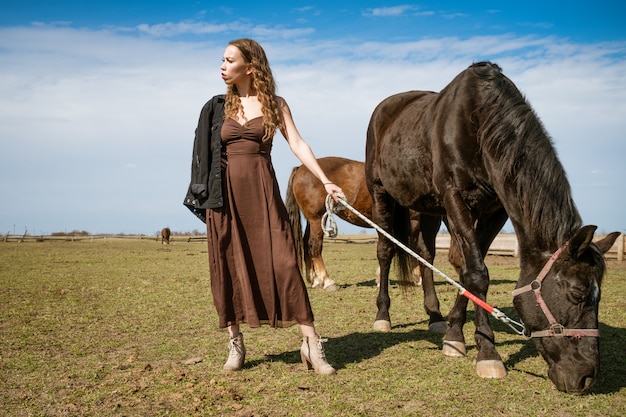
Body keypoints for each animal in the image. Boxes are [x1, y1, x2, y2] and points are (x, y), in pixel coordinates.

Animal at [286, 154, 450, 334]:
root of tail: (301, 167)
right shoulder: (413, 222)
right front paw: (416, 276)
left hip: (314, 220)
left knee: (306, 244)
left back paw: (314, 279)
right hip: (316, 219)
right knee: (314, 246)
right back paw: (327, 281)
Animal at [366, 60, 620, 392]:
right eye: (577, 294)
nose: (586, 378)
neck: (480, 122)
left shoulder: (494, 210)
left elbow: (468, 270)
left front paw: (455, 335)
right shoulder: (455, 198)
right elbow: (477, 273)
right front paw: (488, 353)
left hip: (428, 208)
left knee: (426, 255)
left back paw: (435, 315)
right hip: (381, 193)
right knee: (385, 251)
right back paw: (383, 315)